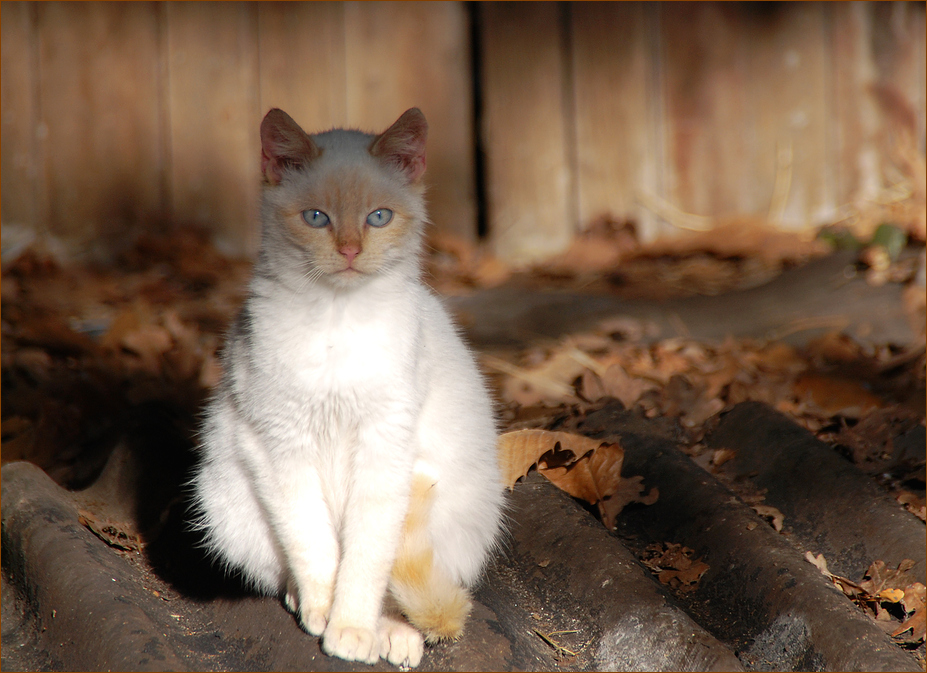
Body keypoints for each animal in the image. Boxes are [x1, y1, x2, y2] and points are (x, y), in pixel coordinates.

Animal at [190, 106, 508, 668]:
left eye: (379, 217)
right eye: (316, 218)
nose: (350, 249)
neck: (338, 318)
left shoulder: (386, 450)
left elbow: (367, 556)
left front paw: (354, 629)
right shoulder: (279, 446)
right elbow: (314, 543)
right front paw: (324, 611)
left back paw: (394, 633)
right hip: (225, 497)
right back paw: (308, 602)